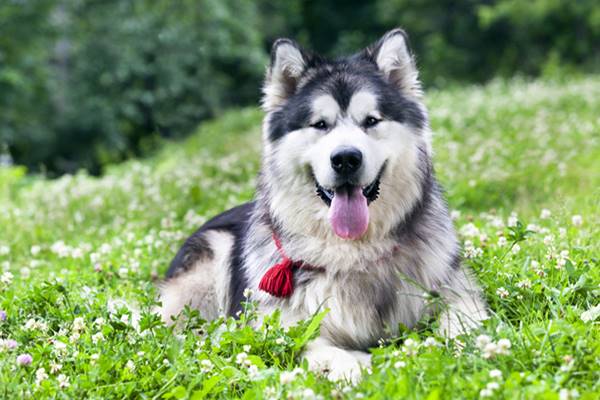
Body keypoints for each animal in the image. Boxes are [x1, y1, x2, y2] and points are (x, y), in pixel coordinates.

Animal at [159, 28, 488, 382]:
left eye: (371, 120)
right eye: (319, 124)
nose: (346, 158)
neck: (354, 249)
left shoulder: (456, 290)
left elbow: (462, 322)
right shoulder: (284, 327)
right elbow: (327, 351)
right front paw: (357, 368)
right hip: (210, 260)